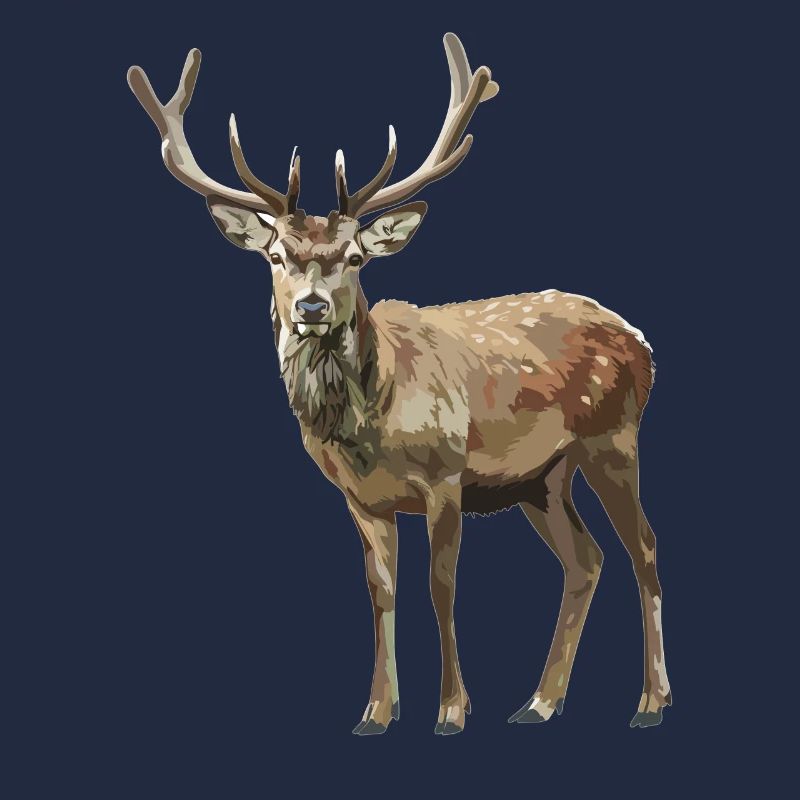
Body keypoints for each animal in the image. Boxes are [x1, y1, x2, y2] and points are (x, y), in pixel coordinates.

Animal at [127, 33, 671, 735]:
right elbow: (381, 590)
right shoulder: (360, 499)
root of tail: (642, 342)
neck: (372, 426)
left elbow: (442, 586)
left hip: (614, 437)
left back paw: (650, 702)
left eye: (356, 257)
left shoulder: (446, 474)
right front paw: (377, 712)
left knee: (644, 549)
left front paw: (451, 711)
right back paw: (539, 702)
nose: (310, 307)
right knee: (586, 560)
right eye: (276, 255)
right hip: (541, 478)